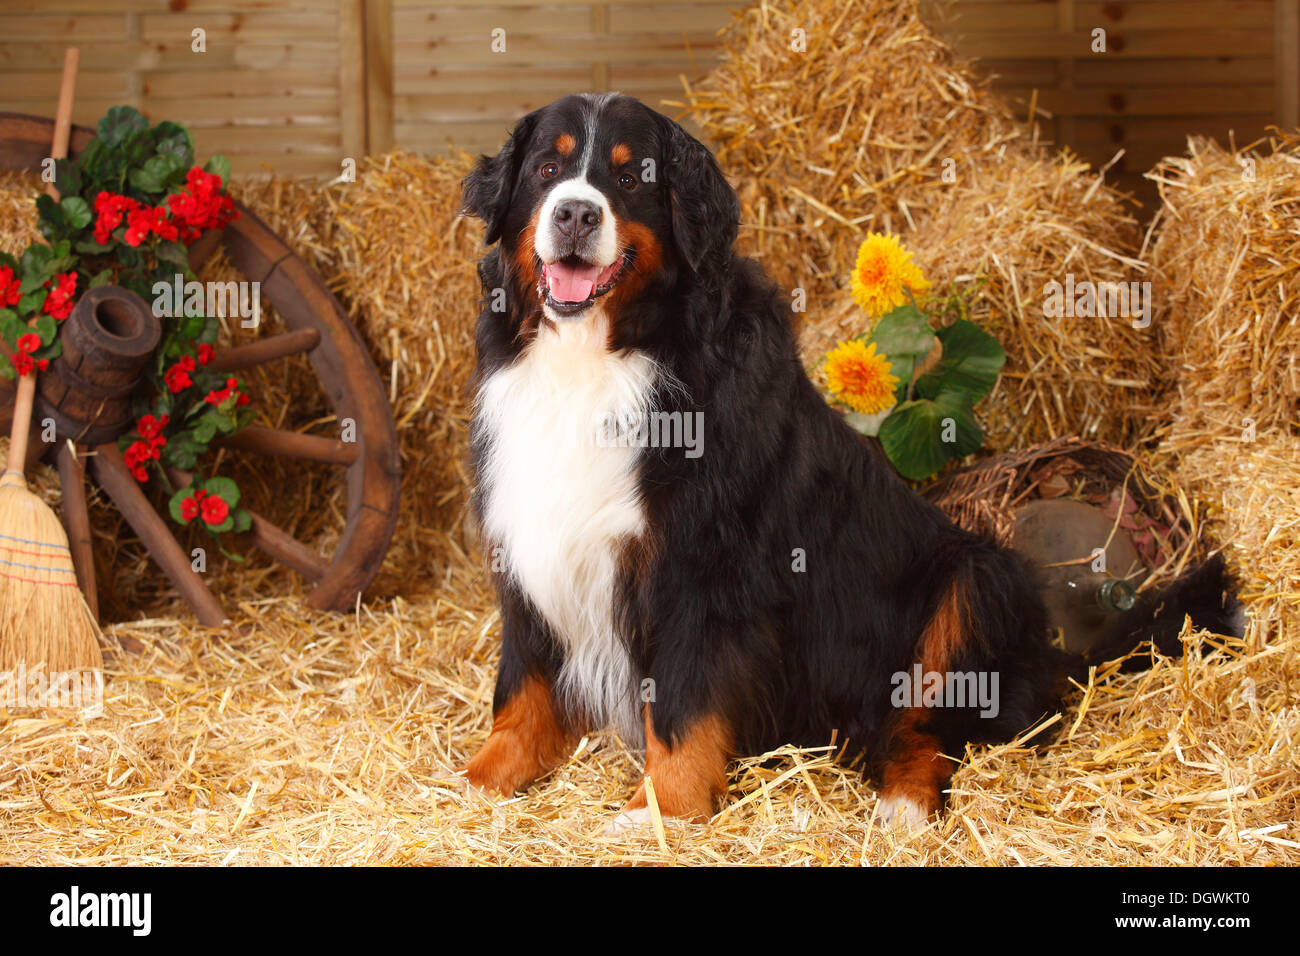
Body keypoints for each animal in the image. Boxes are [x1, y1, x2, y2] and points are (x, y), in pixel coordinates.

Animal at [457, 91, 1237, 832]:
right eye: (547, 170)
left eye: (629, 176)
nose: (576, 213)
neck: (601, 357)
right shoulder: (531, 540)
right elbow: (521, 685)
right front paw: (480, 780)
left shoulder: (698, 569)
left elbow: (679, 702)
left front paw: (660, 811)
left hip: (972, 578)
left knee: (929, 730)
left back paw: (904, 805)